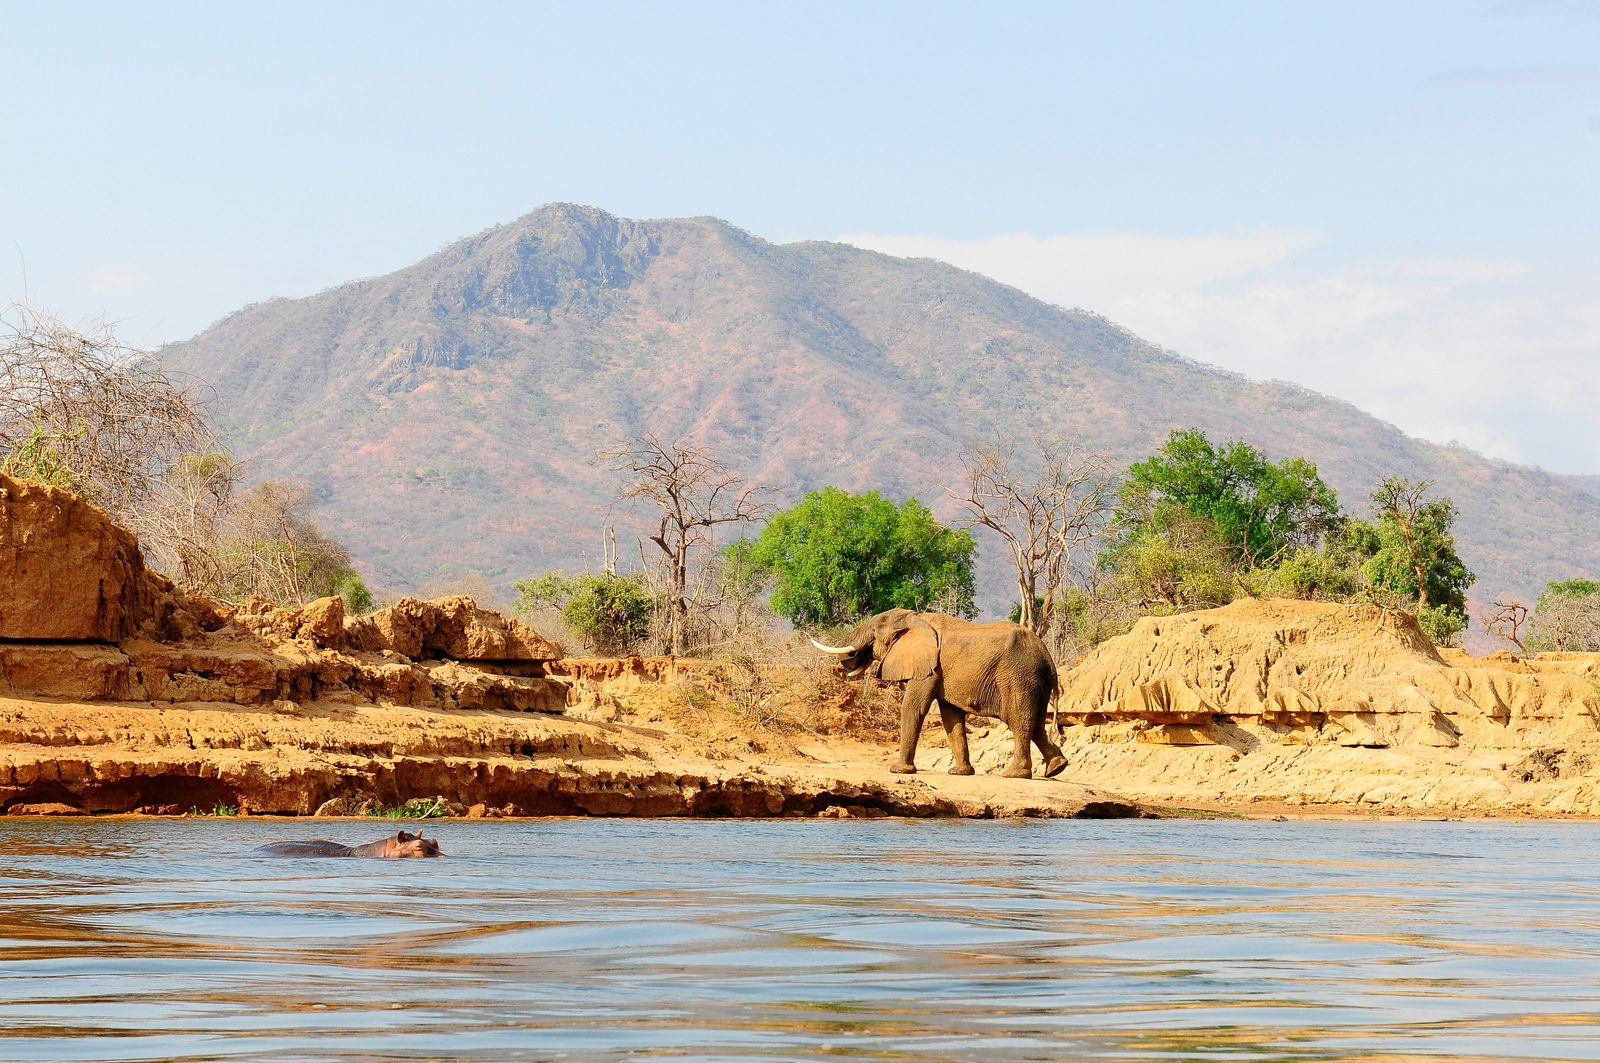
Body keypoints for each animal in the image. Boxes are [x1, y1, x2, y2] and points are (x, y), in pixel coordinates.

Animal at [812, 609, 1067, 779]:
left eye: (874, 632)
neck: (915, 618)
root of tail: (1048, 658)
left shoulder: (929, 667)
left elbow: (913, 708)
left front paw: (898, 770)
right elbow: (951, 717)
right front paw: (959, 773)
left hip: (1019, 678)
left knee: (1019, 722)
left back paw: (1015, 774)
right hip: (1034, 681)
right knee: (1036, 724)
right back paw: (1057, 767)